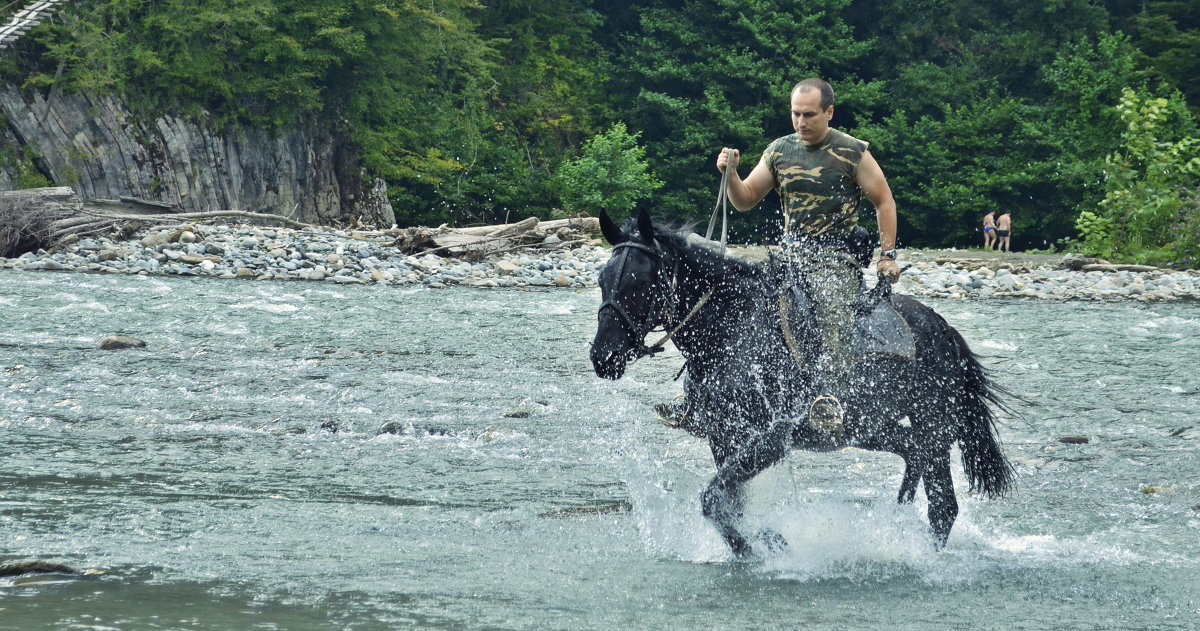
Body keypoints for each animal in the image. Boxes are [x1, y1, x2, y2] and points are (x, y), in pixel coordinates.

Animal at [590, 209, 1012, 556]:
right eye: (601, 280)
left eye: (641, 281)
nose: (602, 356)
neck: (733, 331)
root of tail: (943, 329)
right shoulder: (723, 437)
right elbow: (728, 503)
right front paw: (762, 541)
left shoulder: (773, 438)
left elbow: (713, 500)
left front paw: (768, 544)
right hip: (869, 427)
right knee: (914, 453)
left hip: (934, 424)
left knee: (942, 505)